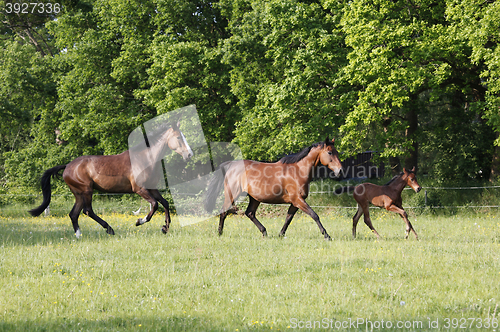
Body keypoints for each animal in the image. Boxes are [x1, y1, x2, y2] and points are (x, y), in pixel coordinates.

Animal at [28, 123, 193, 237]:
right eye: (179, 137)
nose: (190, 154)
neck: (146, 158)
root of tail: (68, 165)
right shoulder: (139, 189)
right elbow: (155, 204)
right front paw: (139, 221)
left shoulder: (152, 188)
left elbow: (164, 203)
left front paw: (165, 228)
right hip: (86, 190)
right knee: (87, 211)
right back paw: (110, 229)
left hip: (78, 193)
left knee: (74, 214)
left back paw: (79, 236)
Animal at [204, 139, 344, 240]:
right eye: (330, 152)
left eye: (337, 152)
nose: (340, 171)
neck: (298, 171)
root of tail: (231, 165)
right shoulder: (298, 200)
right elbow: (314, 215)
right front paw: (327, 236)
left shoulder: (295, 202)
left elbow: (288, 218)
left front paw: (281, 235)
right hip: (232, 194)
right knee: (223, 212)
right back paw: (220, 234)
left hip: (254, 198)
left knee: (249, 213)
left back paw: (264, 232)